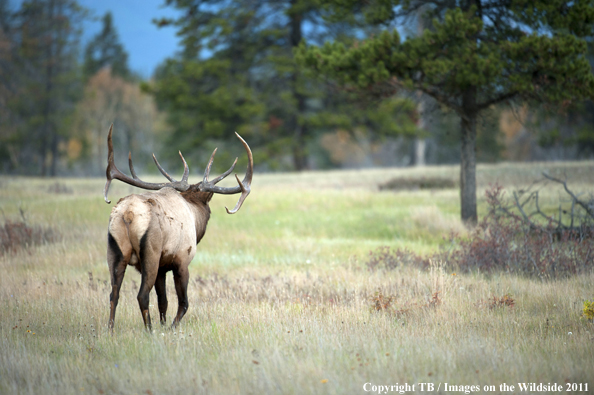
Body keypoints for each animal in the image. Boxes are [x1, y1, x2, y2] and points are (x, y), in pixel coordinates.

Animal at [103, 126, 251, 332]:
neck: (194, 217)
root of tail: (128, 214)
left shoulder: (162, 268)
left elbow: (163, 301)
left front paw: (164, 324)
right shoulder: (182, 260)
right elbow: (184, 302)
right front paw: (171, 327)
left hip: (115, 251)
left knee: (113, 294)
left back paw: (110, 331)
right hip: (150, 253)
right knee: (142, 295)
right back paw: (149, 331)